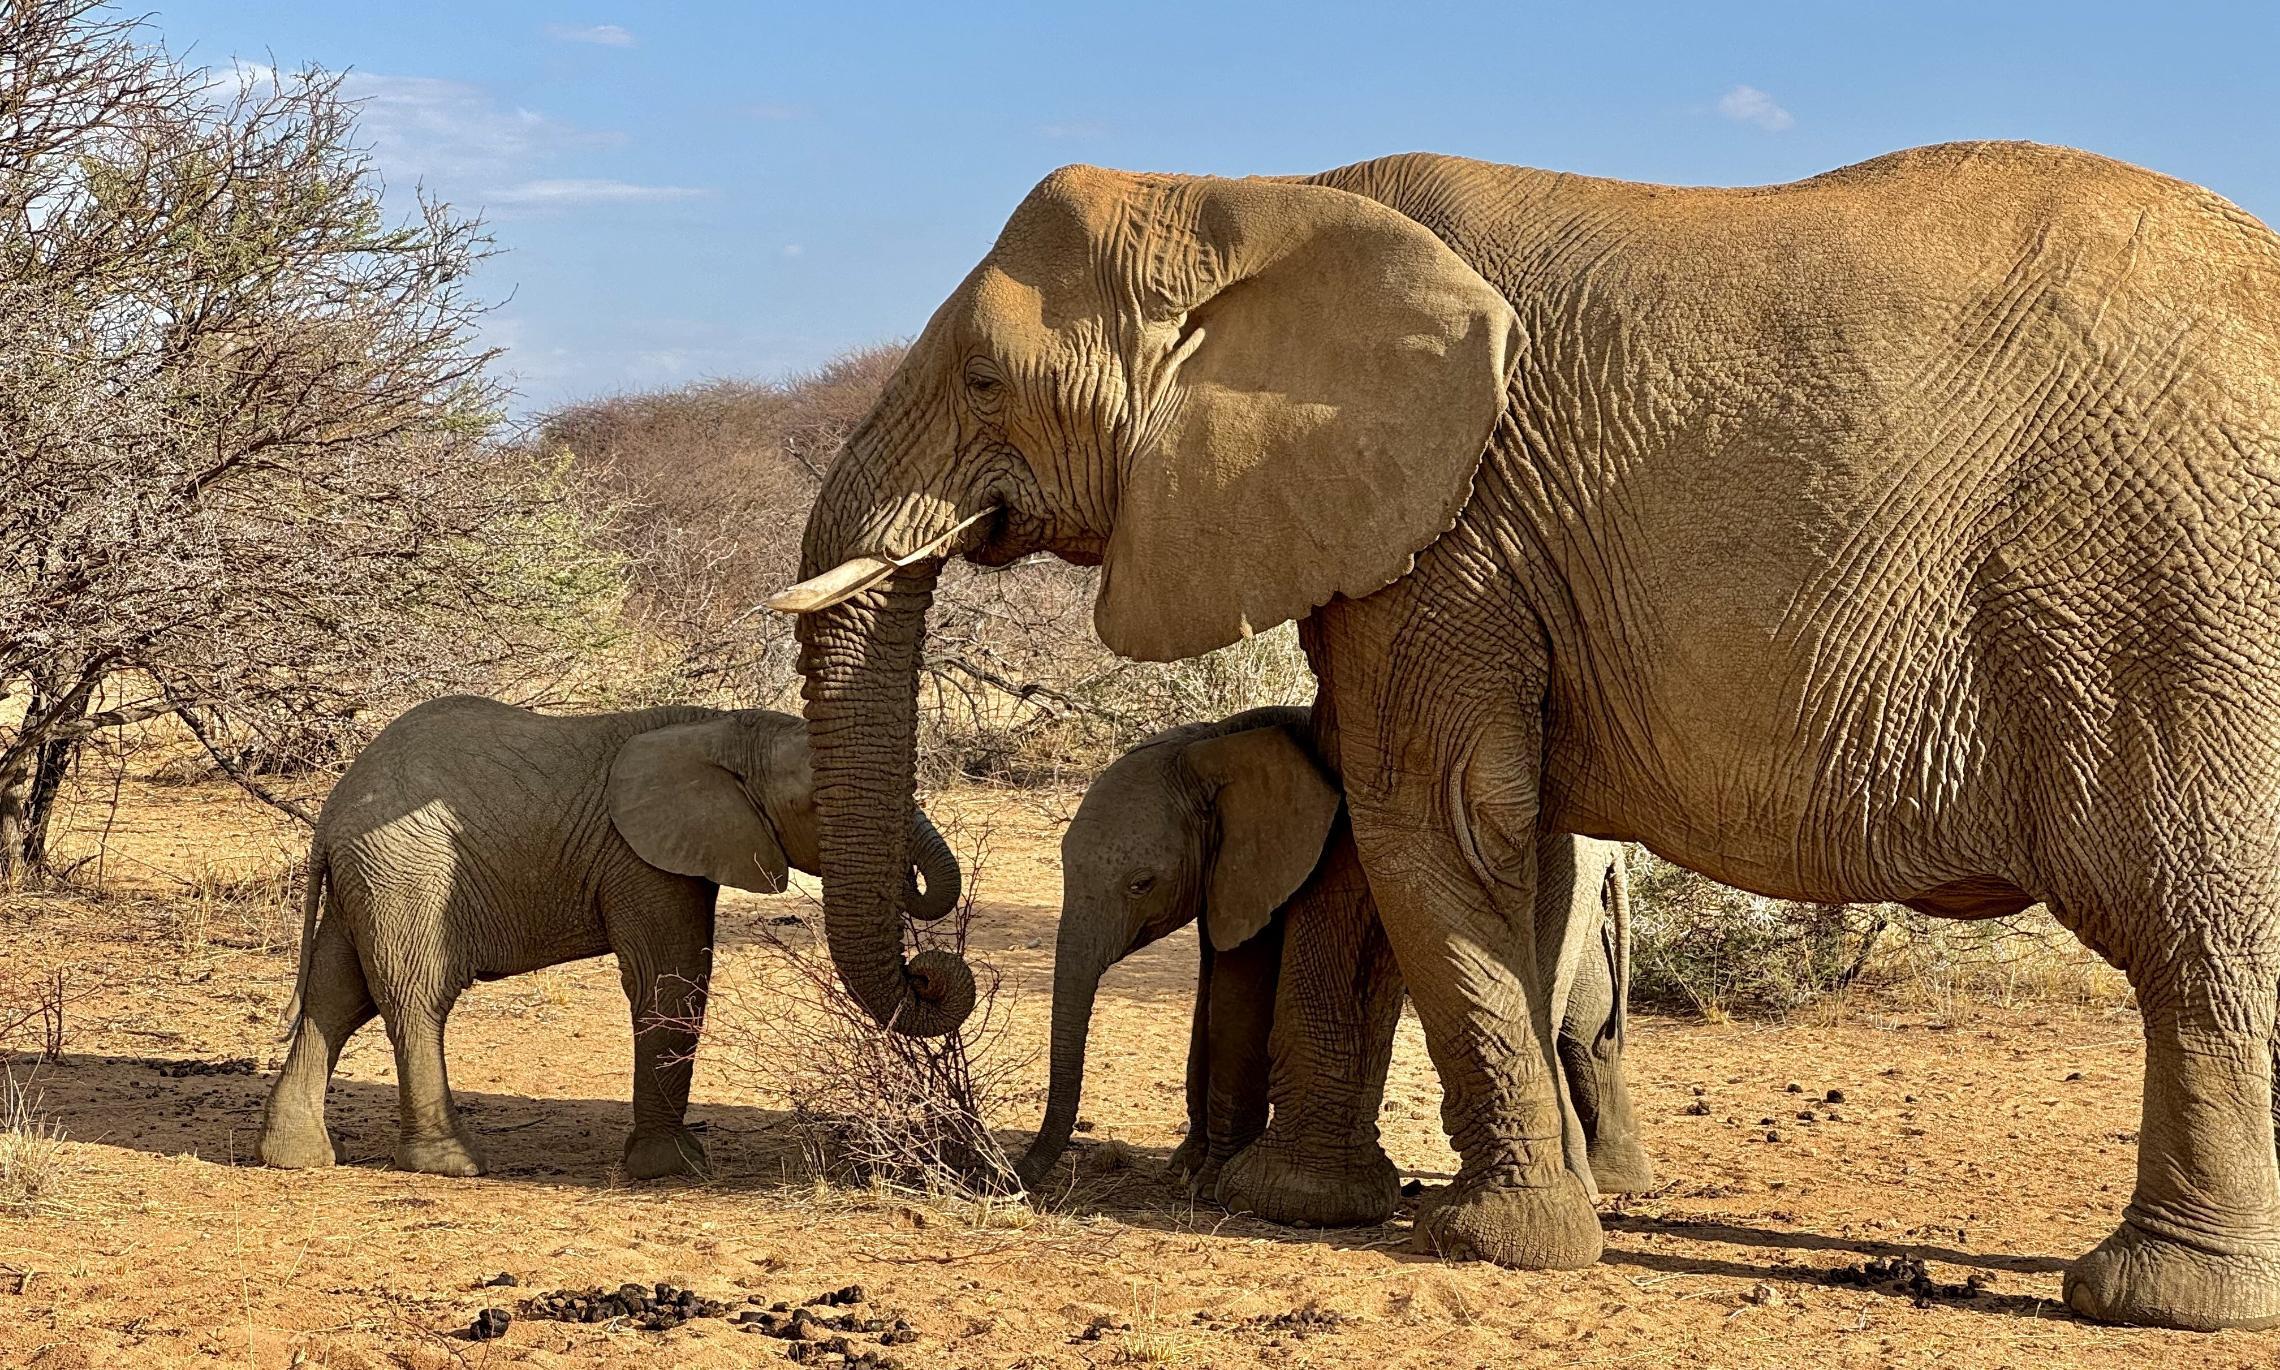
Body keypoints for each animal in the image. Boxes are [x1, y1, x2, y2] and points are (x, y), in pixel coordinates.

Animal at [258, 702, 962, 1176]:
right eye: (818, 806)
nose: (926, 970)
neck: (724, 728)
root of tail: (329, 814)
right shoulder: (641, 860)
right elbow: (669, 980)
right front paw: (673, 1169)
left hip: (370, 880)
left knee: (335, 996)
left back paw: (296, 1157)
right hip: (407, 875)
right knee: (415, 998)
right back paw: (450, 1164)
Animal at [1026, 706, 1650, 1221]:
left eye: (1140, 883)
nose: (1018, 1181)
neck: (1209, 745)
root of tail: (1612, 849)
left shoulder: (1276, 862)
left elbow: (1237, 995)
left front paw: (1209, 1183)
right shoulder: (1226, 877)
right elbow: (1211, 988)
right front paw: (1187, 1168)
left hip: (1546, 881)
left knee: (1546, 1014)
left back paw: (1585, 1190)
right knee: (1584, 1032)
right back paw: (1614, 1182)